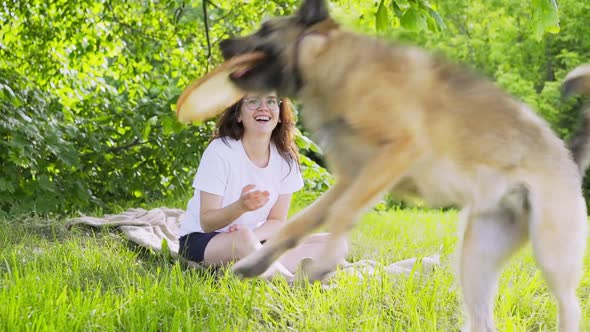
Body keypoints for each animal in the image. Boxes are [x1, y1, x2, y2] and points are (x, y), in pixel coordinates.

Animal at [219, 1, 590, 330]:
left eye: (266, 29)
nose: (223, 44)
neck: (332, 62)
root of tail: (568, 157)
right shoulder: (350, 179)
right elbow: (300, 223)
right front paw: (258, 261)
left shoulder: (397, 152)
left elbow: (342, 214)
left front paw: (326, 260)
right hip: (476, 261)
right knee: (481, 319)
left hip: (553, 254)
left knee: (570, 307)